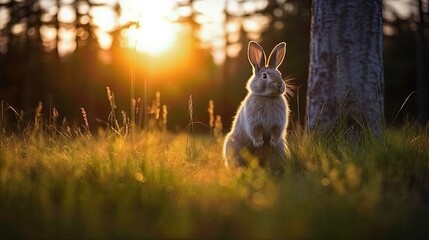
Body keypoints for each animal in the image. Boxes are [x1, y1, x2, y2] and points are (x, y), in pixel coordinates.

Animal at [222, 41, 290, 176]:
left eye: (280, 74)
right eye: (265, 76)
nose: (280, 85)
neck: (268, 97)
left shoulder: (278, 123)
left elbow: (276, 131)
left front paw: (272, 142)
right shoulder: (254, 121)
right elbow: (255, 131)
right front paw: (259, 143)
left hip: (279, 149)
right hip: (233, 146)